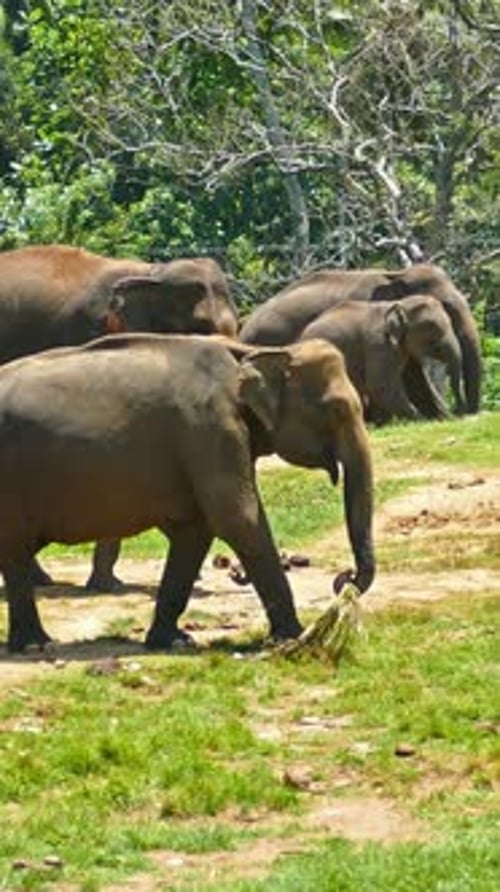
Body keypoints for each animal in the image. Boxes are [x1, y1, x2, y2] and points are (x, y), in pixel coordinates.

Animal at [0, 332, 375, 653]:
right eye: (337, 409)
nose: (344, 579)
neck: (253, 351)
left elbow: (196, 531)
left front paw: (173, 642)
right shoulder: (211, 428)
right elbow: (239, 519)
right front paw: (294, 637)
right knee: (15, 549)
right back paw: (35, 645)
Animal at [299, 295, 467, 422]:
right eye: (431, 326)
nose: (458, 413)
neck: (400, 303)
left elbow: (418, 382)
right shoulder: (378, 344)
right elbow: (381, 385)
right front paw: (421, 421)